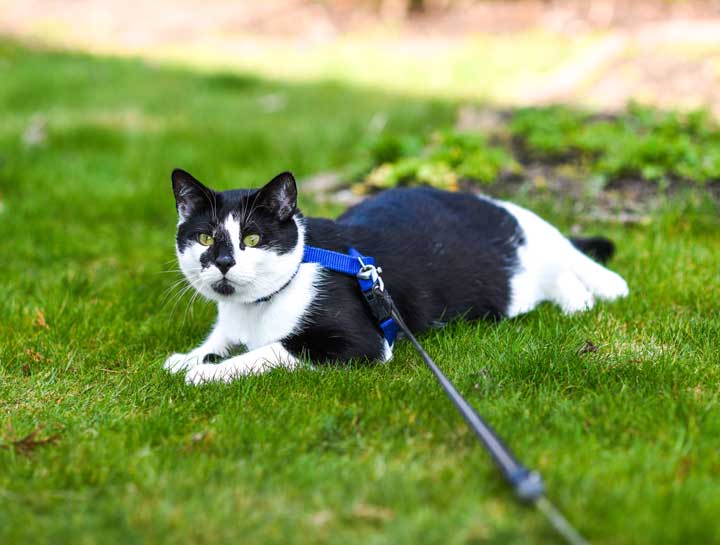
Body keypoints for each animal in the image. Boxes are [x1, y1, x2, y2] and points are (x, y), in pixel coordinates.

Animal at [166, 168, 628, 384]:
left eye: (252, 237)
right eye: (205, 237)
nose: (224, 261)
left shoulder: (359, 343)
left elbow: (268, 352)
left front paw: (206, 373)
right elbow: (219, 340)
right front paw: (190, 357)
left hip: (536, 248)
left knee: (570, 262)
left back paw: (591, 294)